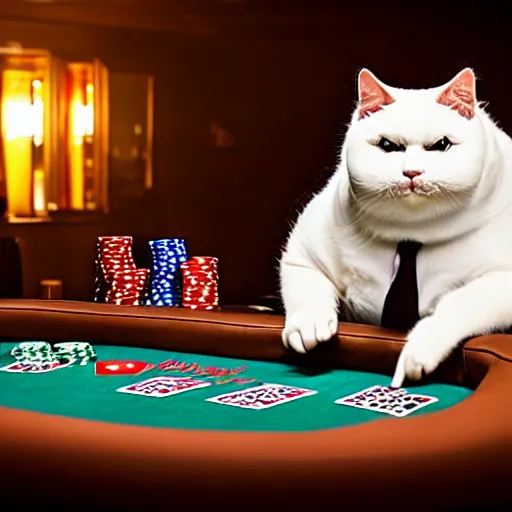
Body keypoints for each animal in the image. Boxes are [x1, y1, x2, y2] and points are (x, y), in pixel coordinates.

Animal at [278, 69, 512, 388]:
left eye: (441, 145)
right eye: (388, 146)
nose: (411, 172)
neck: (411, 236)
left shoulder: (503, 282)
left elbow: (457, 302)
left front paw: (420, 349)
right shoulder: (303, 254)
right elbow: (306, 285)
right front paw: (308, 324)